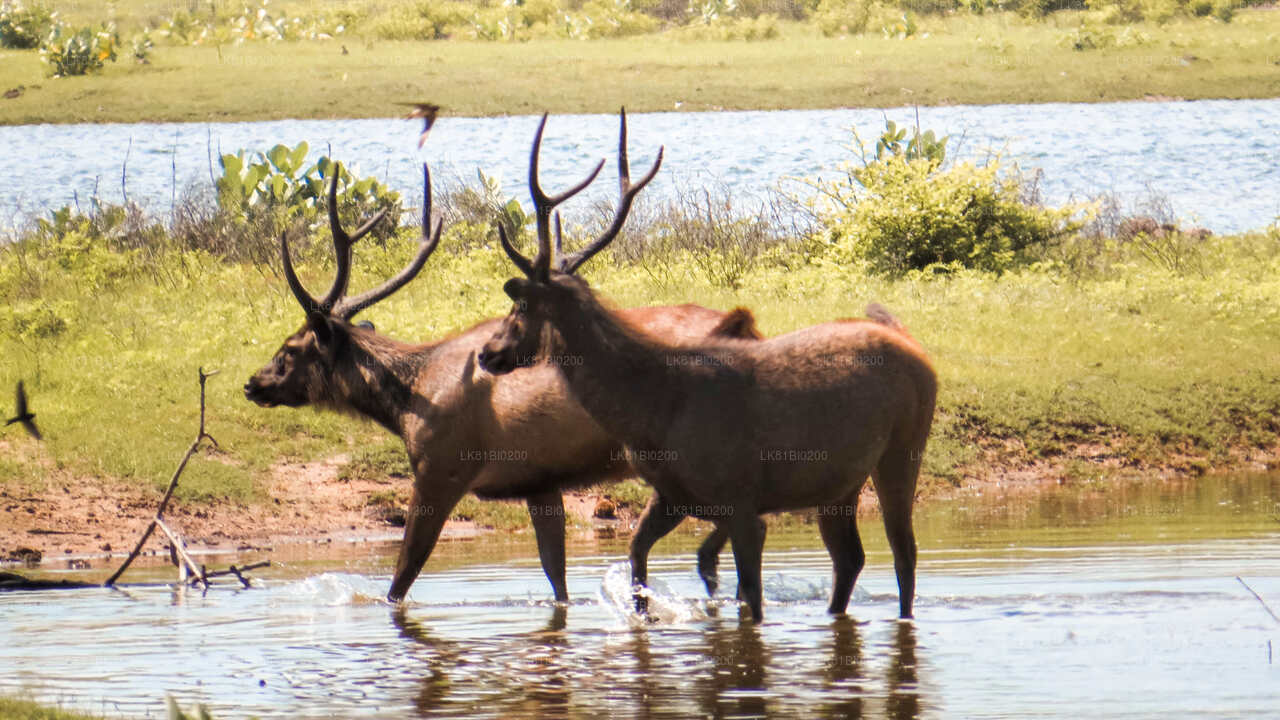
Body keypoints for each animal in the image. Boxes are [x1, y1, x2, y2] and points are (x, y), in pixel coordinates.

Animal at [240, 159, 762, 602]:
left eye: (291, 348)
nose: (252, 383)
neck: (410, 401)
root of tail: (745, 327)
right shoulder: (540, 481)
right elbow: (556, 578)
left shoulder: (440, 470)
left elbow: (403, 575)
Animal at [481, 109, 942, 620]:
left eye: (520, 307)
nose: (487, 352)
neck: (651, 412)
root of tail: (913, 343)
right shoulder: (672, 495)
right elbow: (638, 557)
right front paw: (644, 614)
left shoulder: (742, 500)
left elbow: (750, 600)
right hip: (839, 482)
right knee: (851, 558)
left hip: (904, 445)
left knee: (904, 554)